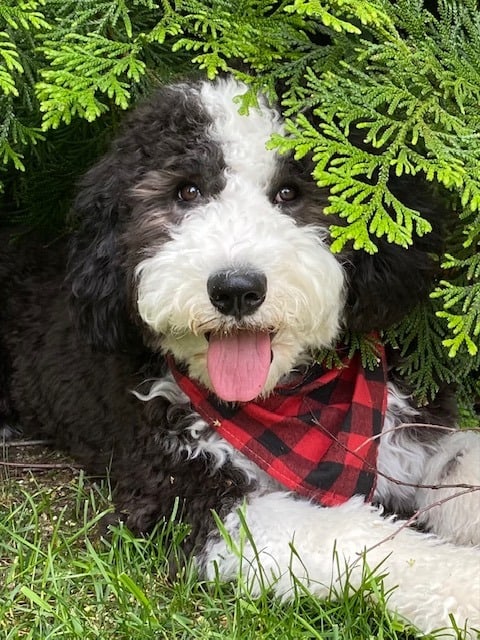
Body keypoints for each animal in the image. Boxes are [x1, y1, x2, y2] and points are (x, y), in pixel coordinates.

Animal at [0, 76, 480, 636]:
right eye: (186, 191)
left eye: (290, 193)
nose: (235, 289)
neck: (290, 403)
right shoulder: (192, 499)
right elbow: (353, 535)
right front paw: (465, 588)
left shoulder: (409, 436)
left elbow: (460, 465)